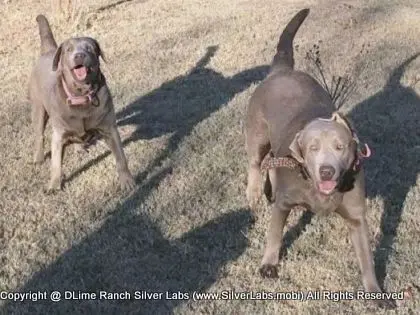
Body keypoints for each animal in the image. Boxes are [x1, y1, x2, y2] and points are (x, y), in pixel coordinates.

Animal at [29, 15, 135, 193]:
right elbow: (56, 163)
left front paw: (127, 181)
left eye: (90, 48)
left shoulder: (109, 128)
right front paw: (54, 185)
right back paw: (38, 158)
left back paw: (79, 147)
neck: (81, 97)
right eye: (68, 49)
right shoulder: (58, 134)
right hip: (39, 109)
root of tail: (48, 51)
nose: (79, 55)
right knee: (39, 135)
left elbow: (121, 157)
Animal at [244, 8, 396, 310]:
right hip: (257, 133)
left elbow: (367, 258)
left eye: (340, 147)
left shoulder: (356, 216)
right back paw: (254, 193)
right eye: (313, 147)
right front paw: (269, 264)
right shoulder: (284, 204)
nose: (326, 171)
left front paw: (376, 292)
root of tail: (282, 70)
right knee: (255, 162)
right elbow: (274, 234)